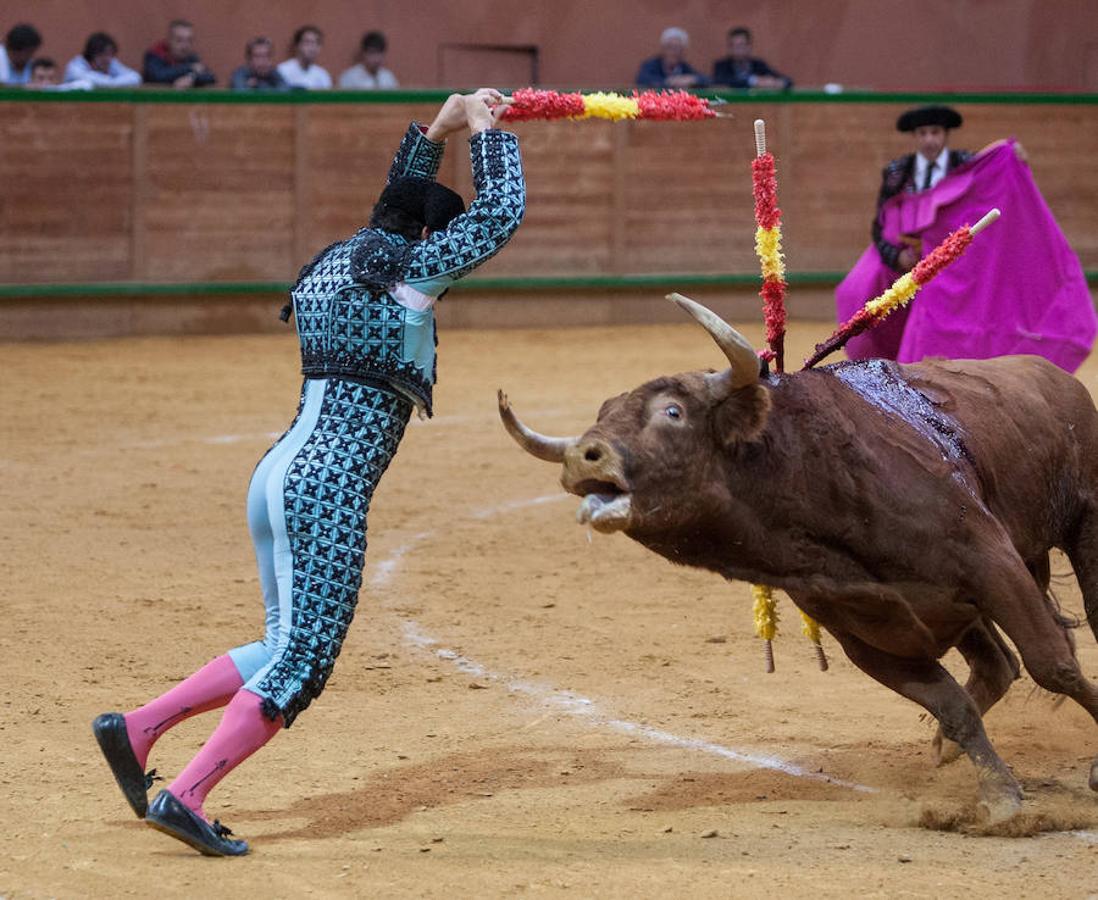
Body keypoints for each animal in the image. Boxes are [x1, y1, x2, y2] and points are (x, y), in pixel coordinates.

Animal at [498, 294, 1098, 820]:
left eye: (672, 411)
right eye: (605, 413)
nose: (583, 456)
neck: (812, 479)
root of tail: (1057, 379)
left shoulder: (993, 565)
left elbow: (1056, 667)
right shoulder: (868, 639)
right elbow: (954, 707)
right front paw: (1000, 799)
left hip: (1082, 529)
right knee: (996, 666)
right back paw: (945, 750)